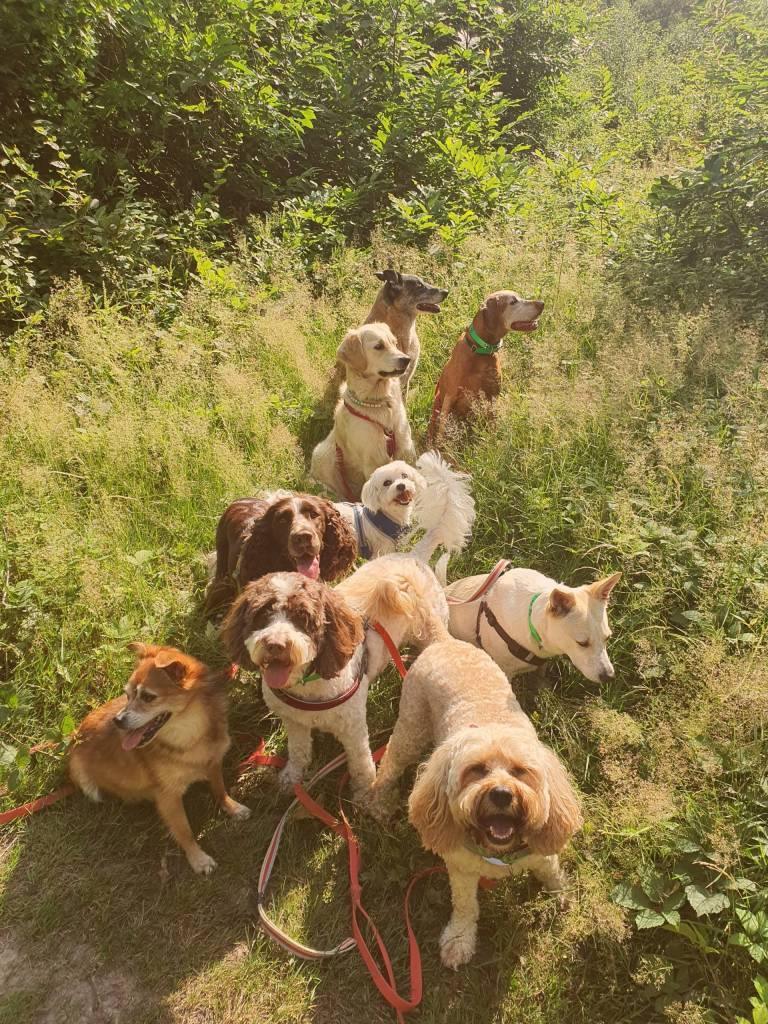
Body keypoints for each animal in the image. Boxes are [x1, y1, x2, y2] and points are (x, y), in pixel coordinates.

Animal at [68, 644, 249, 875]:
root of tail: (74, 738)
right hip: (87, 784)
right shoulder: (168, 796)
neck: (191, 738)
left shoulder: (214, 763)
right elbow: (184, 830)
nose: (117, 720)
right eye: (127, 696)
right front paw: (198, 859)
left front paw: (232, 808)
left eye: (148, 697)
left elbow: (220, 790)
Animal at [221, 556, 447, 799]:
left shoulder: (353, 729)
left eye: (302, 616)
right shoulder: (294, 721)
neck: (308, 684)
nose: (275, 644)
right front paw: (292, 777)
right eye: (262, 614)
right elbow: (298, 750)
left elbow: (360, 763)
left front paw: (366, 795)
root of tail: (411, 557)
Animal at [310, 323, 417, 501]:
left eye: (394, 343)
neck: (378, 402)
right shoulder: (373, 461)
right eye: (379, 346)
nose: (406, 359)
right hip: (323, 453)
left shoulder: (406, 447)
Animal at [368, 627, 582, 969]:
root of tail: (443, 639)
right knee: (389, 761)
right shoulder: (461, 869)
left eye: (520, 771)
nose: (502, 794)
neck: (499, 851)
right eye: (476, 770)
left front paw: (563, 897)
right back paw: (379, 802)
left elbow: (553, 875)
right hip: (411, 728)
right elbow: (466, 906)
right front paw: (459, 940)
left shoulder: (543, 855)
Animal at [428, 290, 544, 443]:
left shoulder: (493, 396)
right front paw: (441, 445)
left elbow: (493, 424)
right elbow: (442, 429)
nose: (542, 303)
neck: (481, 351)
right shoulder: (450, 396)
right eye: (513, 301)